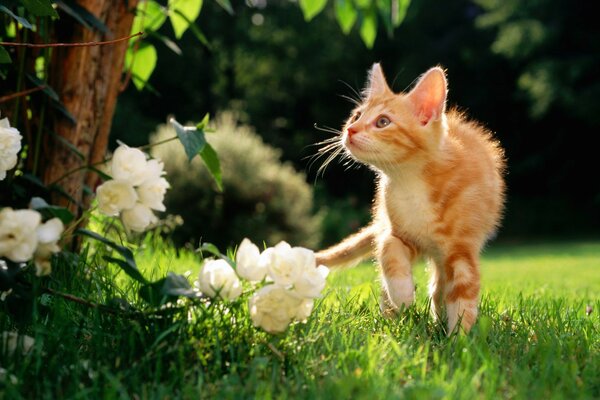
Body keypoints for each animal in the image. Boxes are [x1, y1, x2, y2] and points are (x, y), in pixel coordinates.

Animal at [316, 64, 504, 334]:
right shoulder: (399, 231)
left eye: (383, 122)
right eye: (356, 116)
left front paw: (460, 337)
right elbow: (388, 250)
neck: (411, 181)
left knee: (439, 284)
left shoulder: (461, 247)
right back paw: (391, 315)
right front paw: (403, 295)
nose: (350, 130)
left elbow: (463, 290)